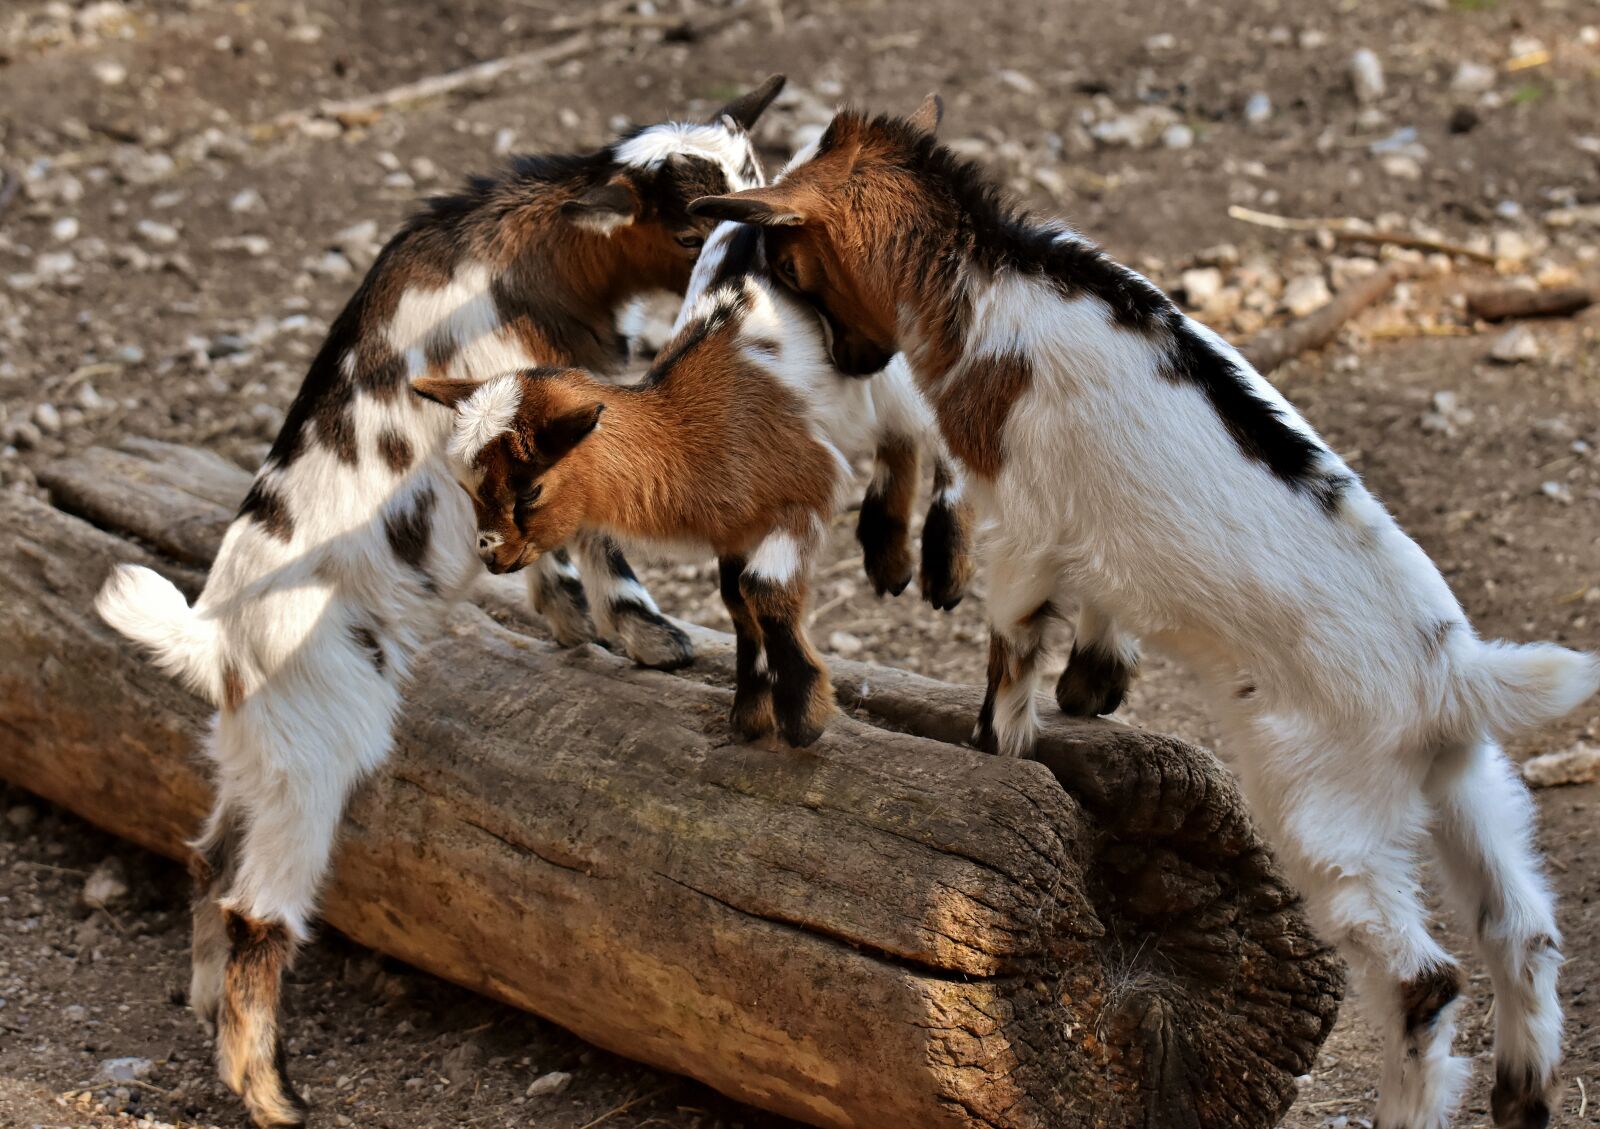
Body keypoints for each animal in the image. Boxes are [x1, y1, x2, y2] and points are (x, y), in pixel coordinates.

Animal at [92, 78, 783, 1129]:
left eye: (758, 175)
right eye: (692, 217)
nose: (765, 253)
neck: (532, 252)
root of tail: (212, 646)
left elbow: (549, 538)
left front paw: (572, 621)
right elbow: (594, 524)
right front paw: (646, 635)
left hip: (259, 763)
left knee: (210, 862)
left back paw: (209, 1013)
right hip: (318, 764)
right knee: (259, 913)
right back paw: (273, 1096)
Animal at [690, 99, 1600, 1129]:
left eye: (788, 259)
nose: (856, 358)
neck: (988, 275)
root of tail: (1453, 673)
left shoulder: (1025, 518)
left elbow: (1012, 639)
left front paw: (1001, 745)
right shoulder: (1090, 527)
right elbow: (1101, 595)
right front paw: (1094, 682)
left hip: (1329, 815)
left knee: (1424, 980)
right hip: (1465, 784)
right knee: (1522, 929)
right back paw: (1523, 1095)